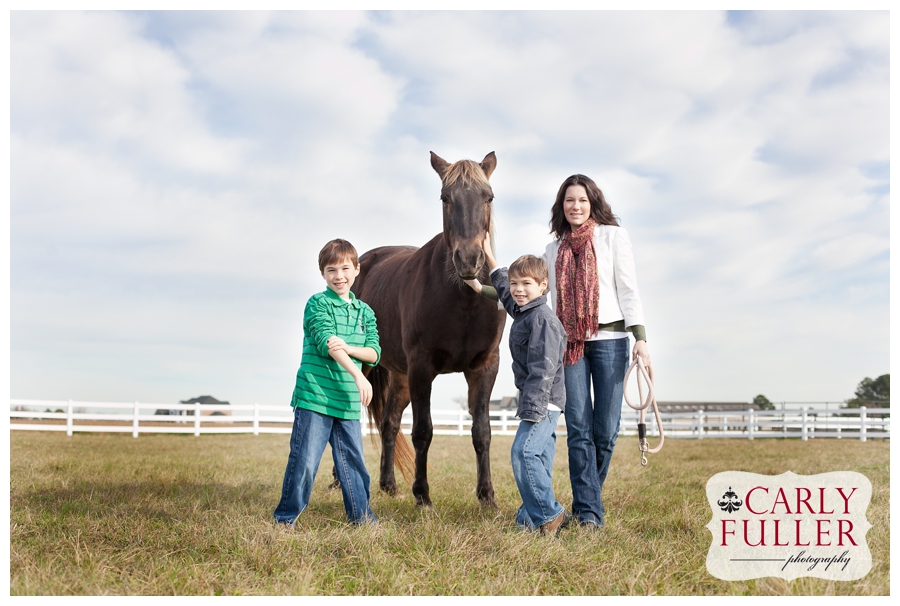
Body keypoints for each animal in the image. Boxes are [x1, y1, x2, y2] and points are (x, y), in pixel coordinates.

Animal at [352, 152, 506, 508]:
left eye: (489, 197)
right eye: (445, 198)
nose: (469, 259)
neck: (464, 299)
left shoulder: (484, 366)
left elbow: (482, 432)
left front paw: (487, 497)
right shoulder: (422, 367)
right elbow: (423, 431)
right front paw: (422, 495)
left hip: (400, 375)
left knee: (390, 423)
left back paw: (389, 485)